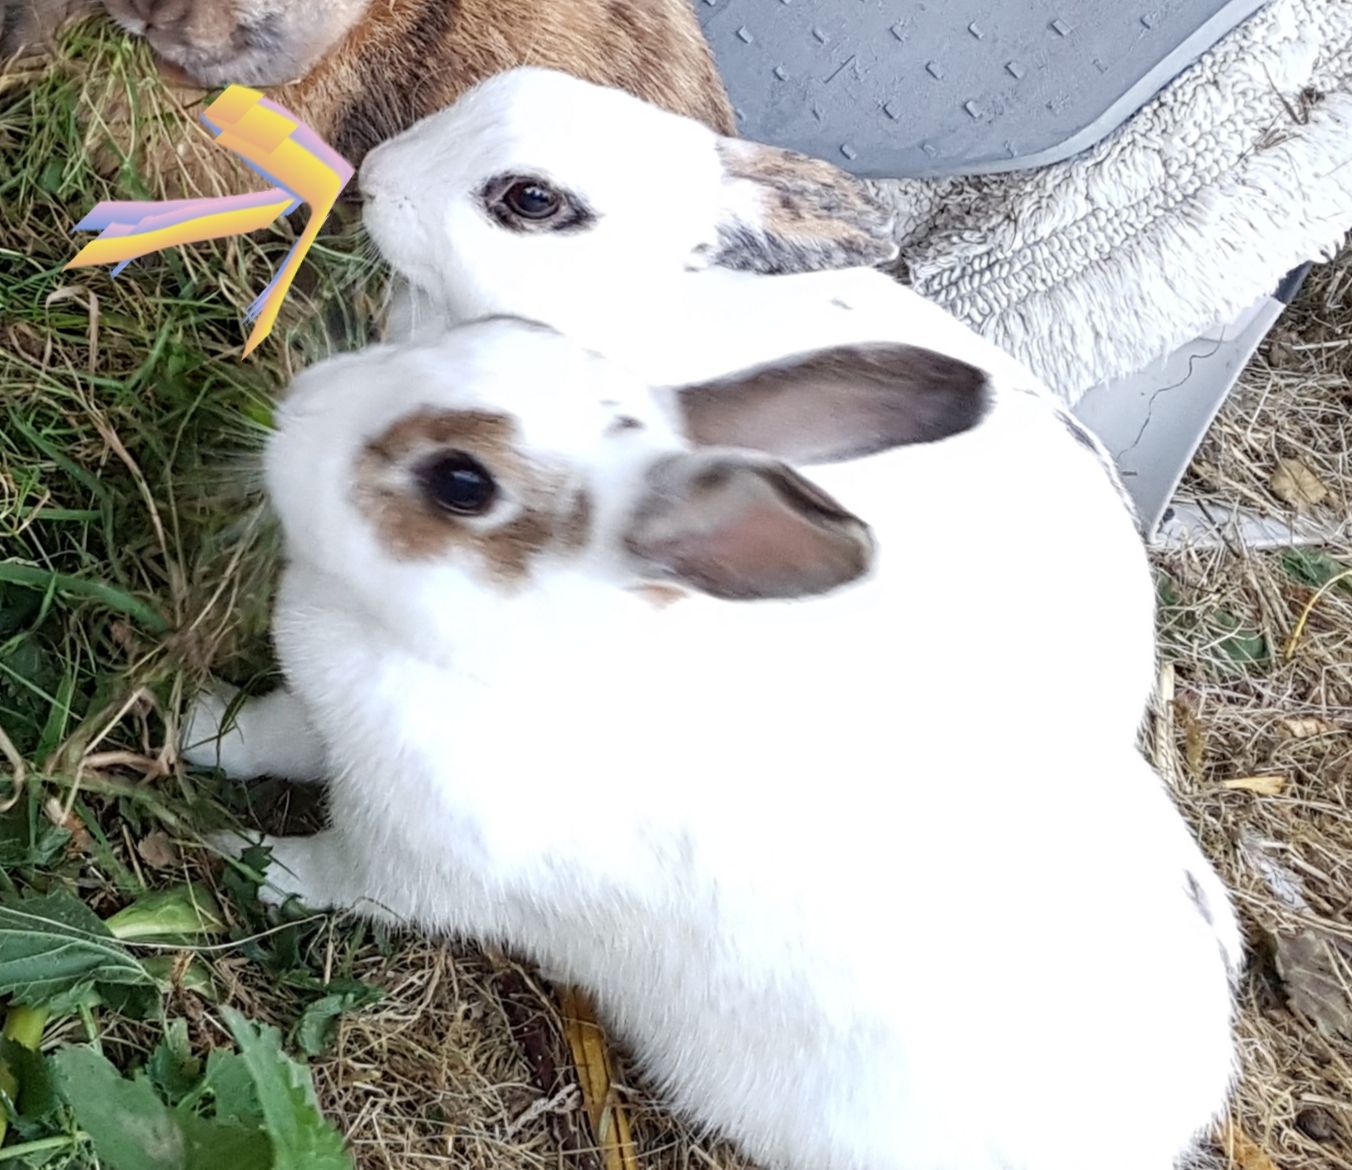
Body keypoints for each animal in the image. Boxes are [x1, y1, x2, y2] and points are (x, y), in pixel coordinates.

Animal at [186, 316, 1241, 1170]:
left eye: (461, 483)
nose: (299, 406)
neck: (510, 653)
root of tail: (1177, 1113)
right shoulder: (316, 723)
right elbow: (266, 733)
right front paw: (191, 730)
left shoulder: (403, 860)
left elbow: (320, 875)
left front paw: (236, 853)